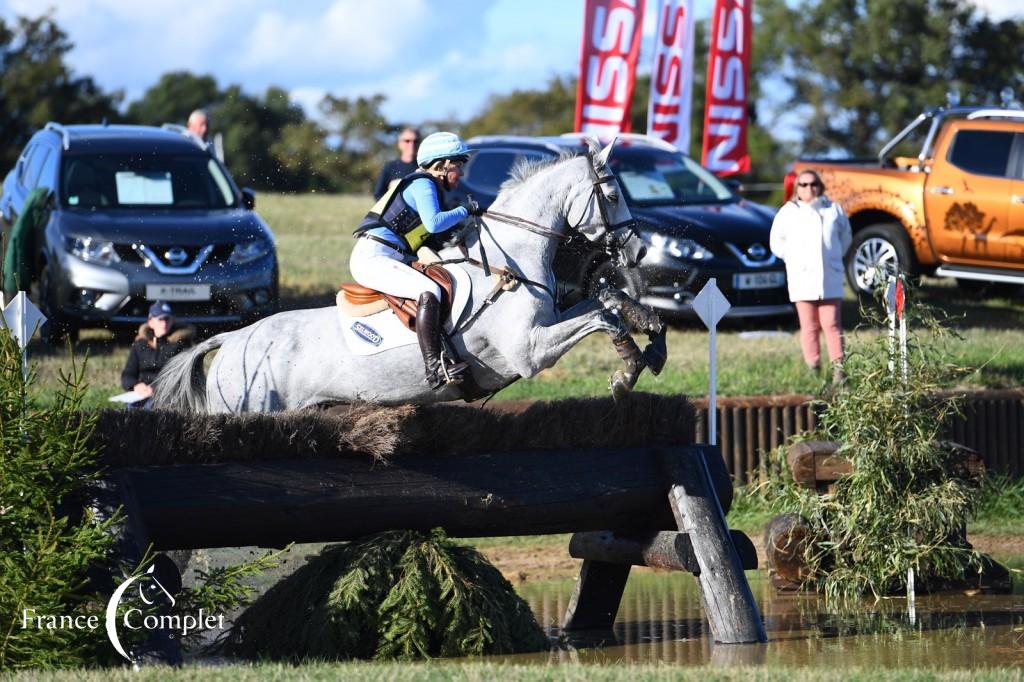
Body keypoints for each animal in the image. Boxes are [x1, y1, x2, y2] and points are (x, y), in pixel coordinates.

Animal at [155, 138, 659, 411]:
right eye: (613, 193)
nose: (639, 249)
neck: (511, 259)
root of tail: (231, 341)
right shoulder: (529, 351)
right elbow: (599, 316)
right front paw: (626, 372)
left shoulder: (550, 322)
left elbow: (602, 303)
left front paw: (644, 341)